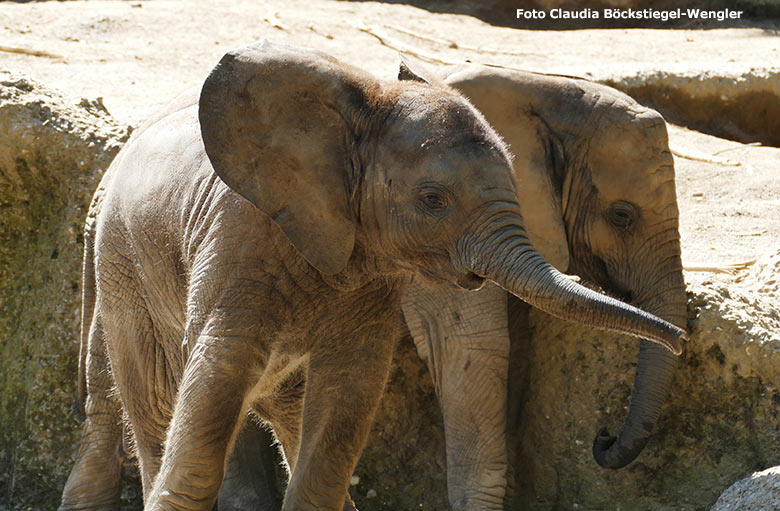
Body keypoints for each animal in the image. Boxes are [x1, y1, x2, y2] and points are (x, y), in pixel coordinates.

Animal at [58, 41, 684, 511]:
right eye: (622, 216)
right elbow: (470, 350)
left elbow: (353, 390)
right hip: (123, 264)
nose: (680, 339)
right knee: (153, 398)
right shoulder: (240, 240)